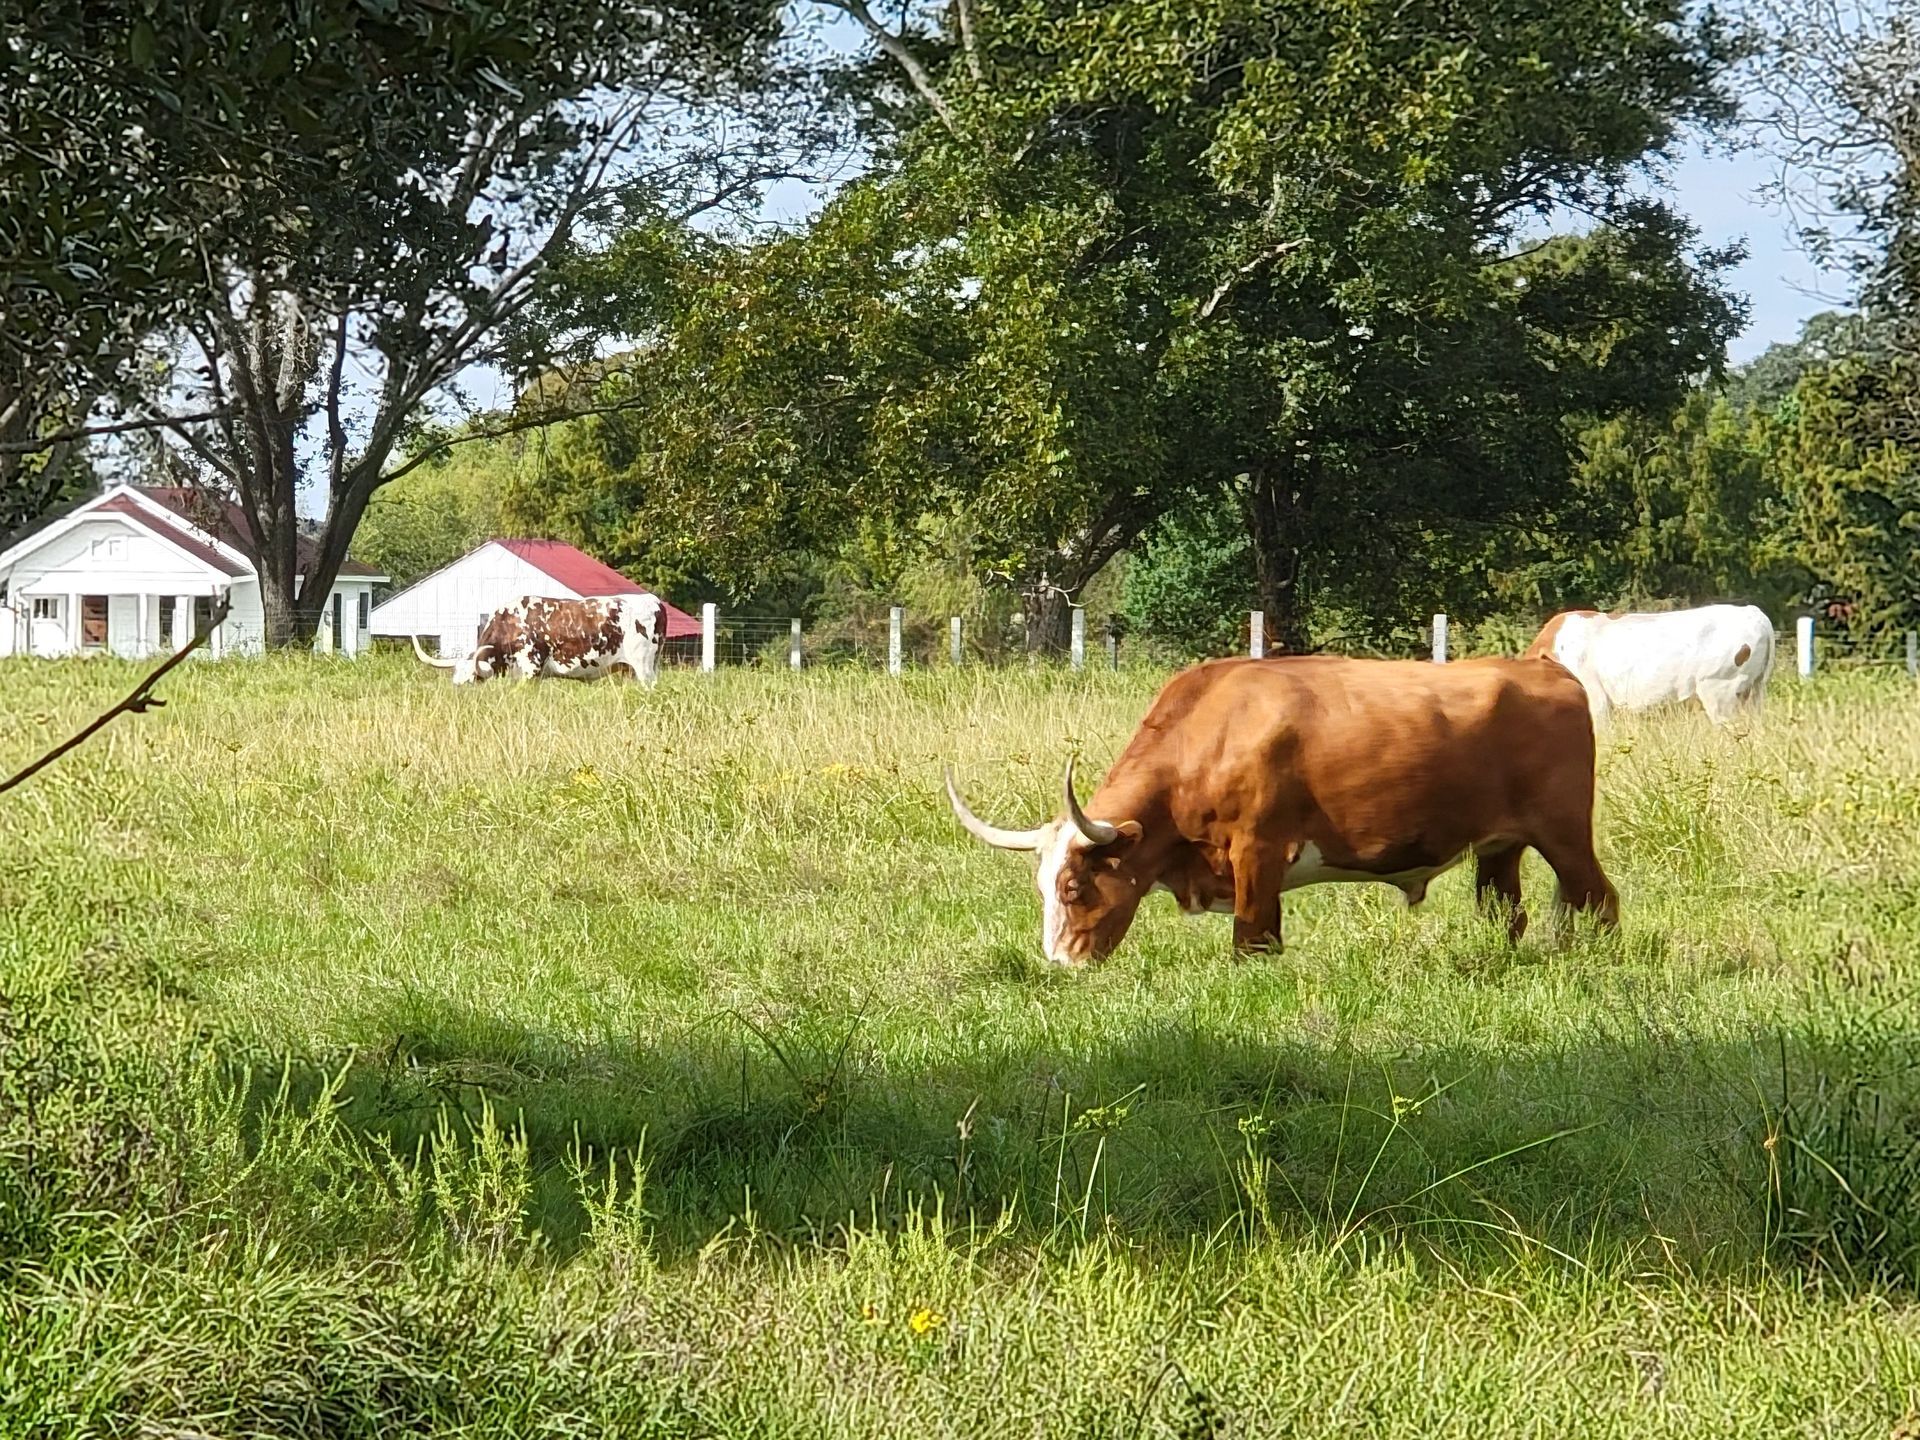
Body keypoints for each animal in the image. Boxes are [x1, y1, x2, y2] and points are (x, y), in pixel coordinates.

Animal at [945, 655, 1618, 967]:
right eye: (1042, 888)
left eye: (1074, 887)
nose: (1060, 965)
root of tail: (1544, 667)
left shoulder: (1259, 853)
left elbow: (1253, 940)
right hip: (1499, 846)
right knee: (1505, 911)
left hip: (1564, 835)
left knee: (1599, 899)